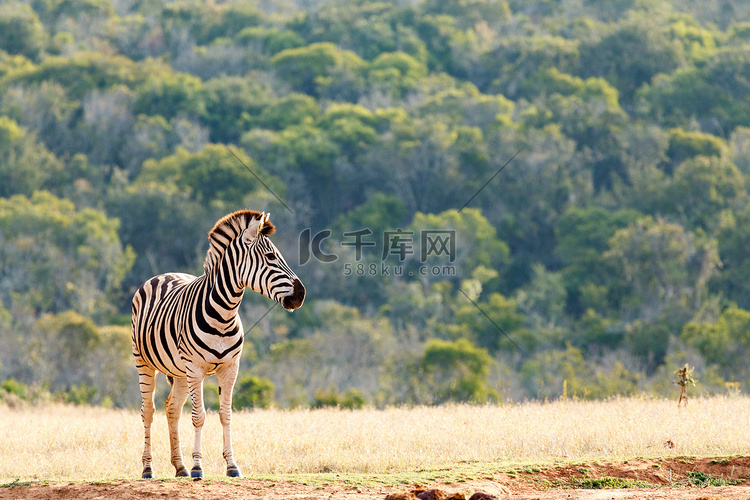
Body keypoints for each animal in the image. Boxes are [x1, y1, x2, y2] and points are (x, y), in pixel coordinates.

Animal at [131, 209, 306, 478]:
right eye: (270, 257)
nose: (301, 295)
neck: (224, 314)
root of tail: (163, 275)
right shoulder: (196, 368)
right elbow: (199, 416)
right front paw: (197, 467)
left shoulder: (230, 368)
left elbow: (226, 414)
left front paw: (231, 465)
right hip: (145, 363)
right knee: (148, 411)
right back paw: (149, 468)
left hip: (180, 372)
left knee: (172, 409)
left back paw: (179, 467)